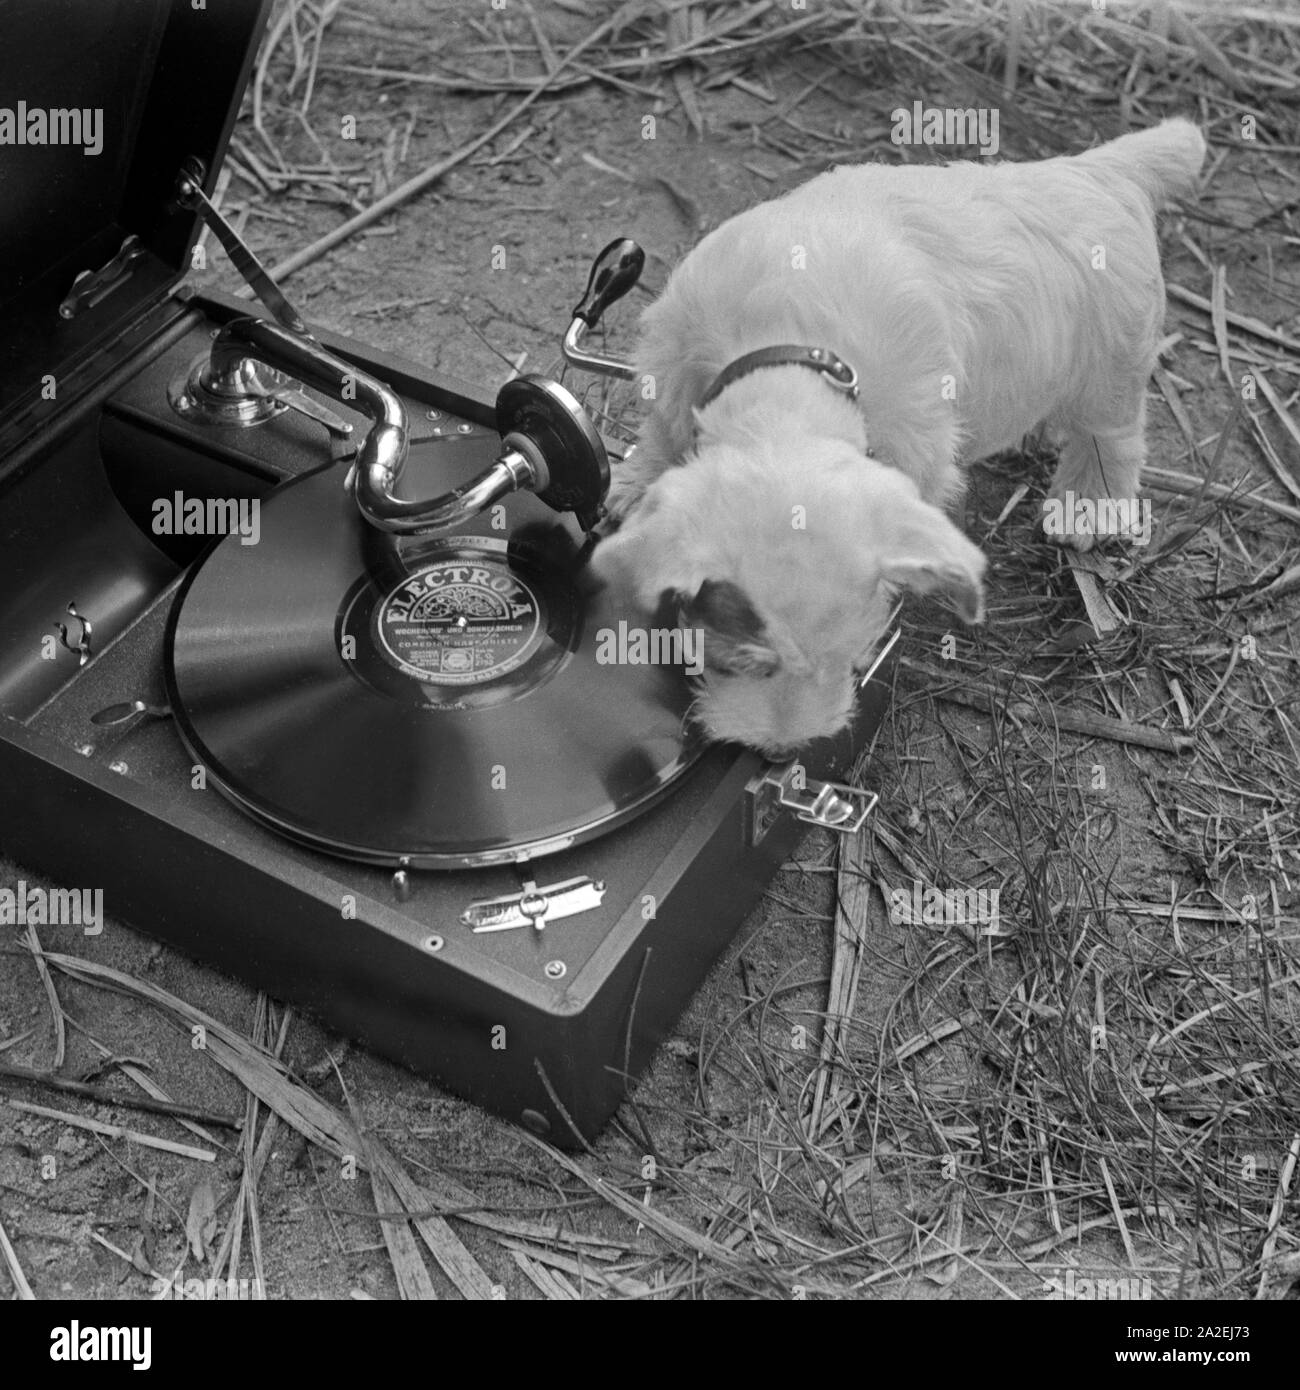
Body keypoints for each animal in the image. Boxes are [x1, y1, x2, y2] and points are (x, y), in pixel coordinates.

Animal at [595, 116, 1206, 761]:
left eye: (850, 659)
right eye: (743, 662)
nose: (782, 752)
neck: (797, 347)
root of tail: (1101, 169)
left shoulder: (915, 448)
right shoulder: (673, 360)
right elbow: (662, 433)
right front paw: (634, 487)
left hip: (1113, 373)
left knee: (1112, 441)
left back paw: (1087, 509)